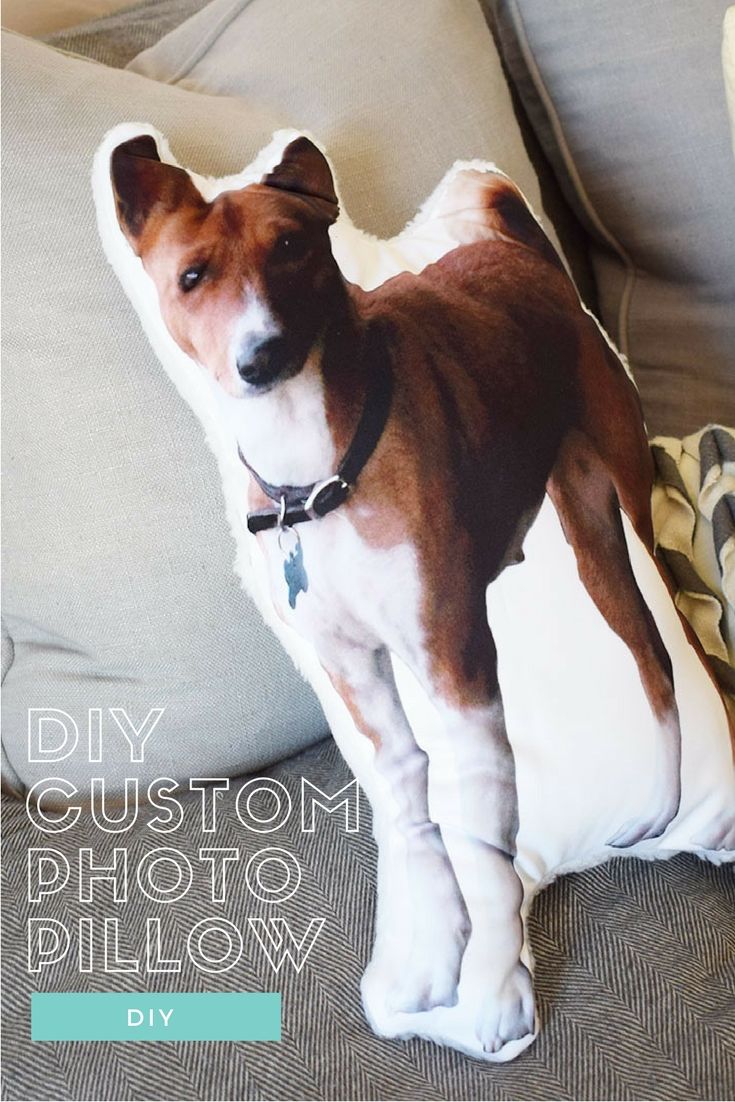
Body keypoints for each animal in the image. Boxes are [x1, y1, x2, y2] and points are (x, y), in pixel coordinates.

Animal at [104, 128, 735, 1057]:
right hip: (585, 533)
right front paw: (436, 967)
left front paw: (496, 994)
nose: (259, 357)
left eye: (293, 248)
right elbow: (411, 800)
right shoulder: (356, 671)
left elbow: (481, 841)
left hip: (619, 511)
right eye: (192, 277)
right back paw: (655, 815)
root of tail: (512, 247)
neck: (316, 476)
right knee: (652, 658)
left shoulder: (454, 658)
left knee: (675, 654)